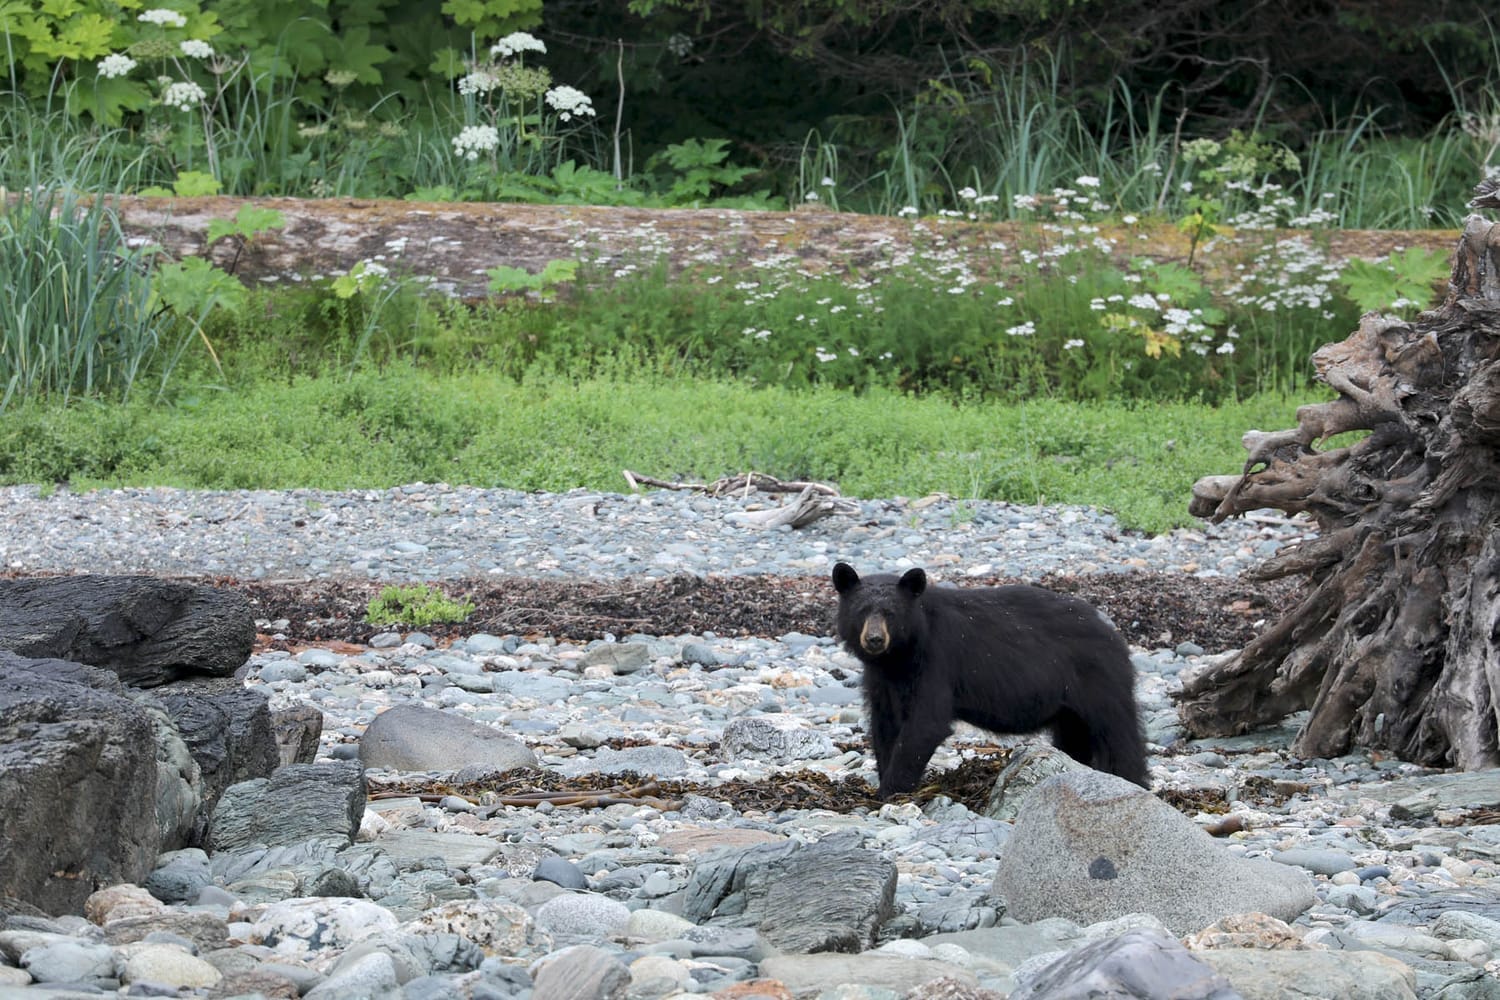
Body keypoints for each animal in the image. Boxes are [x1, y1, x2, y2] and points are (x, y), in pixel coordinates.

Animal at [831, 561, 1148, 798]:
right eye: (861, 611)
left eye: (891, 613)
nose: (874, 639)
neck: (899, 657)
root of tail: (1114, 635)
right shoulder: (881, 680)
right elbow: (884, 726)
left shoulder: (936, 663)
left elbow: (924, 725)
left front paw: (890, 791)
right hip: (1070, 706)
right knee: (1074, 737)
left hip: (1099, 680)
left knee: (1118, 733)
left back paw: (1132, 780)